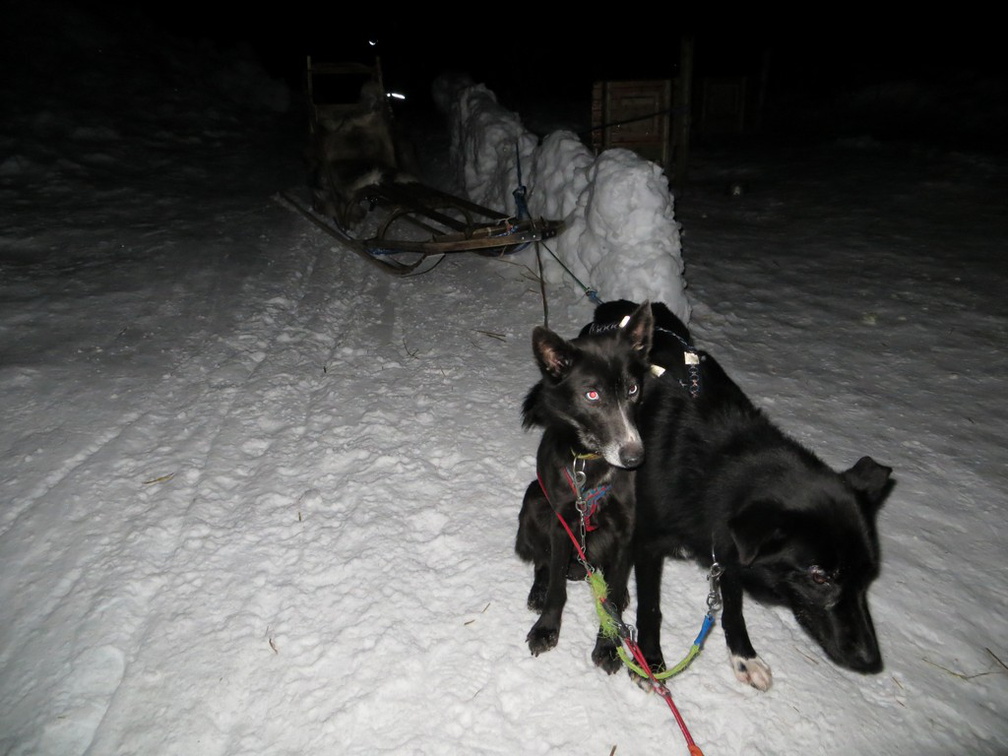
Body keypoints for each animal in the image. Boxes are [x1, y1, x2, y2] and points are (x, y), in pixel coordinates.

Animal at [516, 304, 657, 673]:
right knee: (543, 562)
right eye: (592, 395)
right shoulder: (563, 520)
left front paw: (609, 645)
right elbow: (556, 589)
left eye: (633, 389)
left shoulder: (626, 530)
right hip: (534, 500)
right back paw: (538, 589)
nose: (635, 457)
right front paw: (547, 627)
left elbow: (612, 600)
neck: (591, 464)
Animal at [588, 298, 891, 689]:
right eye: (819, 577)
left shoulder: (728, 545)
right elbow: (651, 607)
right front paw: (651, 661)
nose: (870, 660)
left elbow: (732, 605)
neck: (712, 467)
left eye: (866, 577)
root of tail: (616, 306)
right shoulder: (649, 543)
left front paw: (743, 655)